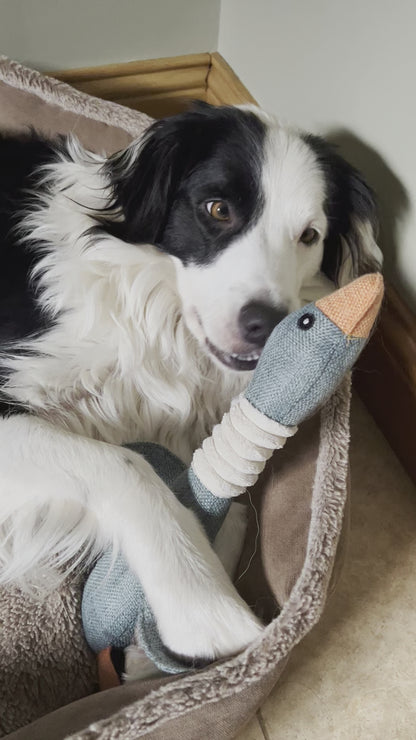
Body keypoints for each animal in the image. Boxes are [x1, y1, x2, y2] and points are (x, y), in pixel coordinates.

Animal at [0, 102, 380, 672]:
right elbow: (124, 465)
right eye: (218, 209)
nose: (266, 325)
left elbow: (231, 508)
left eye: (309, 236)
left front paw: (144, 654)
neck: (161, 325)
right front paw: (201, 606)